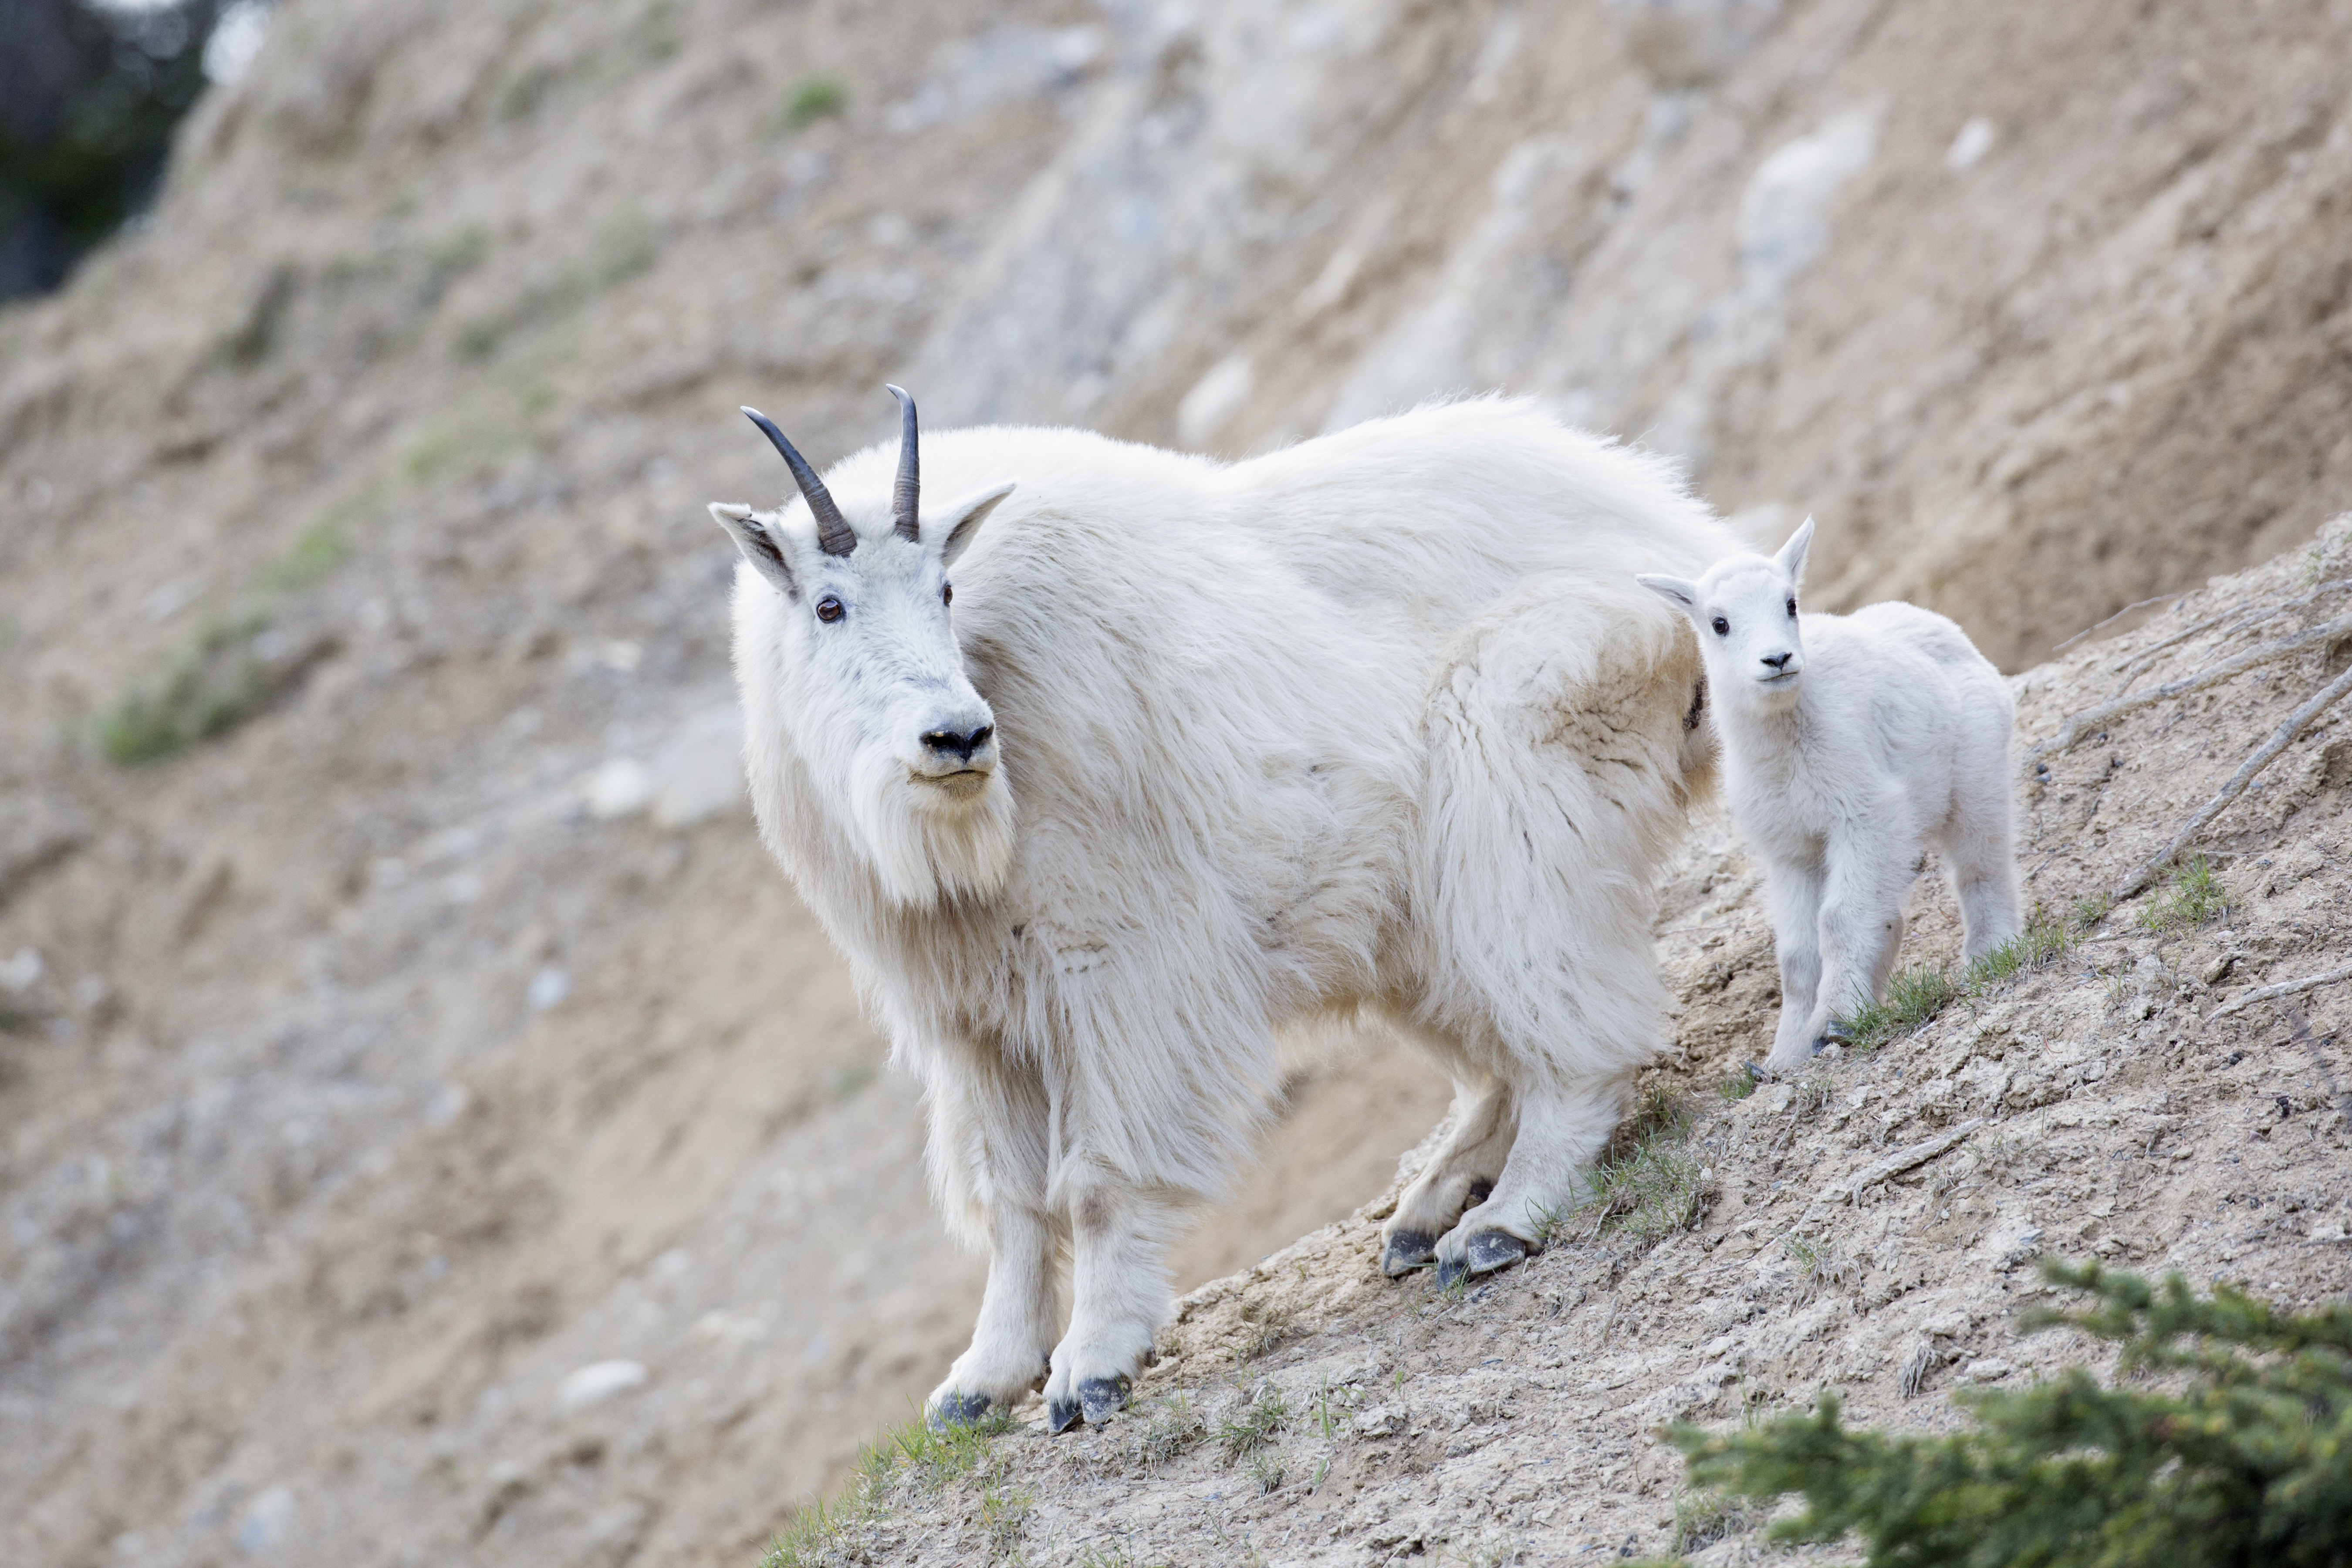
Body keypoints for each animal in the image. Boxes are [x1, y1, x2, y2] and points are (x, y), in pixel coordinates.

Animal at [706, 385, 1740, 1429]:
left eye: (944, 593)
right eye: (829, 605)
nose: (957, 737)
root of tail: (1690, 547)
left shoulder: (1118, 967)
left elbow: (1098, 1182)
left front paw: (1092, 1368)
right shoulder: (974, 1021)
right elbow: (1010, 1203)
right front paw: (982, 1379)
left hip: (1514, 790)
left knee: (1574, 1035)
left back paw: (1500, 1222)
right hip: (1402, 916)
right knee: (1495, 1058)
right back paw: (1428, 1209)